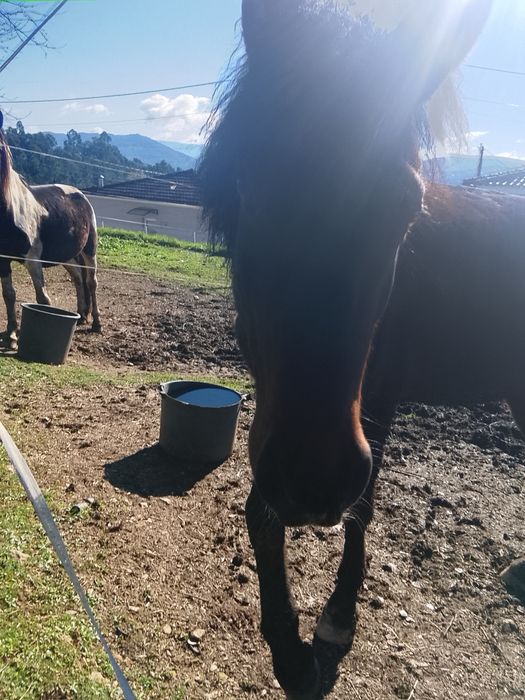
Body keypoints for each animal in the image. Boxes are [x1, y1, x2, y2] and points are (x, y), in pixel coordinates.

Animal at [0, 117, 101, 349]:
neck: (10, 209)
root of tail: (81, 195)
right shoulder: (2, 260)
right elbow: (9, 295)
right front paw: (11, 334)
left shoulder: (33, 259)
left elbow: (42, 299)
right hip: (68, 257)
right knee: (78, 279)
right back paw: (81, 315)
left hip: (89, 251)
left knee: (91, 282)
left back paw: (96, 324)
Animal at [199, 1, 494, 697]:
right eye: (252, 186)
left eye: (406, 206)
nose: (313, 478)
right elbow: (263, 511)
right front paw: (286, 635)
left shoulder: (376, 398)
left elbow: (362, 508)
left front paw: (334, 619)